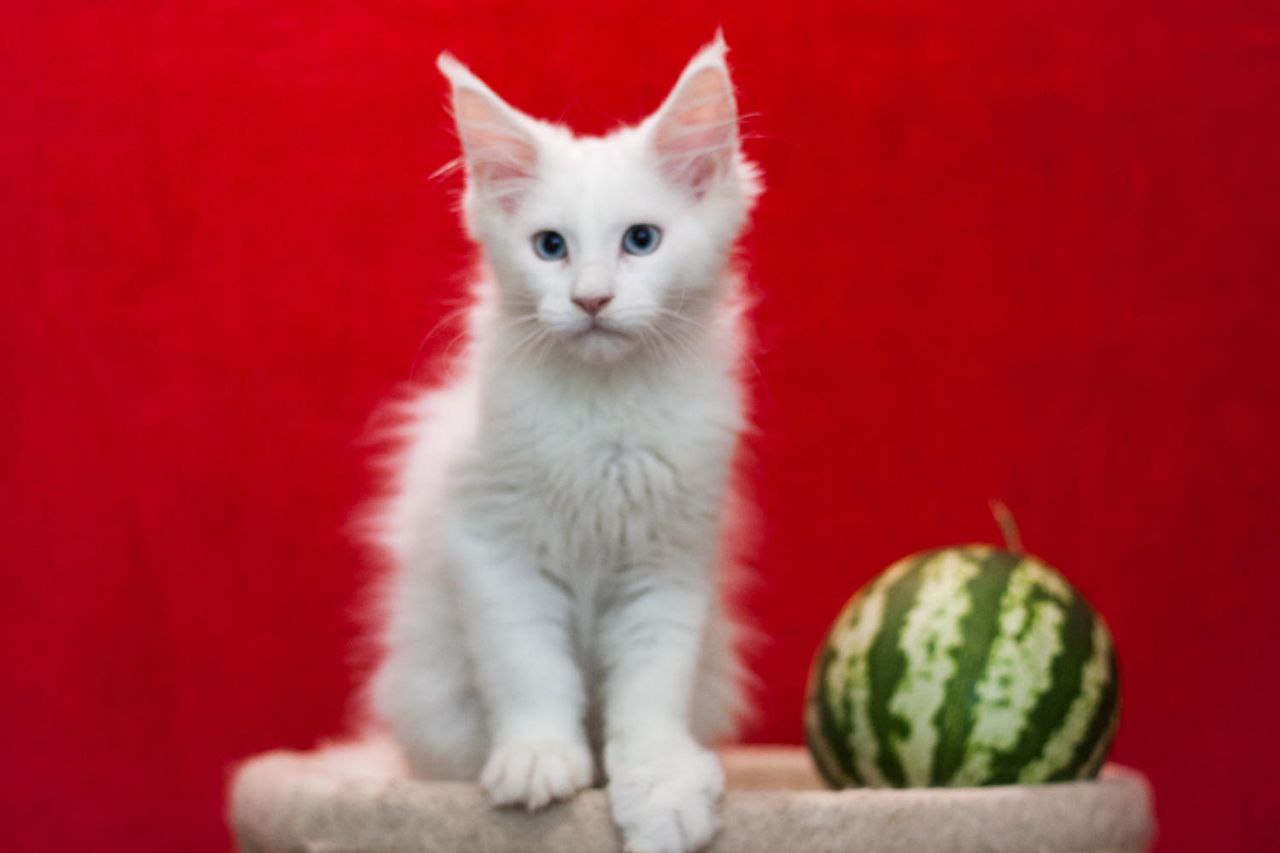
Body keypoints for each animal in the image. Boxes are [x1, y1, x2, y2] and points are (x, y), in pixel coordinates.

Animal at [363, 34, 757, 850]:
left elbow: (651, 691)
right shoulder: (493, 544)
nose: (591, 299)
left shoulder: (669, 559)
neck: (602, 421)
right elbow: (529, 668)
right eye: (550, 247)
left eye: (641, 241)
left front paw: (661, 788)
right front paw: (539, 760)